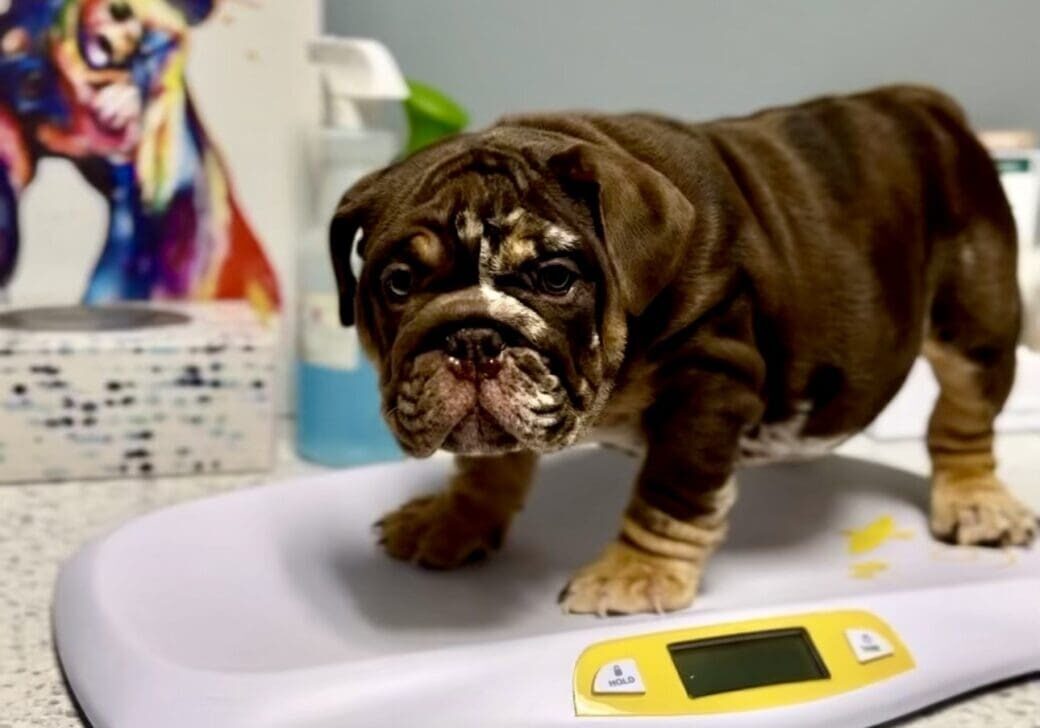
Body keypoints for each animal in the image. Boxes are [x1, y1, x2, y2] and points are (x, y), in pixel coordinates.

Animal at [328, 86, 1035, 619]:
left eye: (555, 277)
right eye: (397, 283)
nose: (472, 338)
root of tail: (922, 101)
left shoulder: (709, 380)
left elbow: (671, 487)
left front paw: (634, 575)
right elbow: (488, 465)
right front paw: (454, 519)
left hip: (975, 320)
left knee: (963, 418)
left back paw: (977, 504)